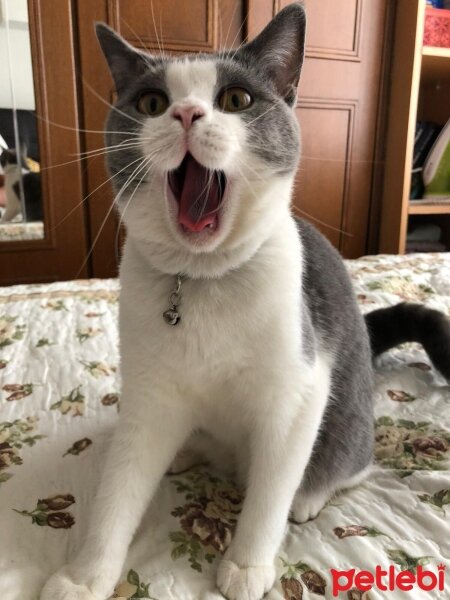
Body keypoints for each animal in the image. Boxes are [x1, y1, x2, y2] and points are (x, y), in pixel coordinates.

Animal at [40, 4, 448, 600]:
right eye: (151, 103)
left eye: (236, 99)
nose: (186, 113)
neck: (202, 280)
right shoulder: (148, 396)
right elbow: (118, 487)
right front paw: (83, 575)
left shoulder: (299, 390)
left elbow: (270, 493)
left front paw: (247, 564)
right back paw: (185, 453)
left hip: (346, 418)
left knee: (348, 465)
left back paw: (309, 495)